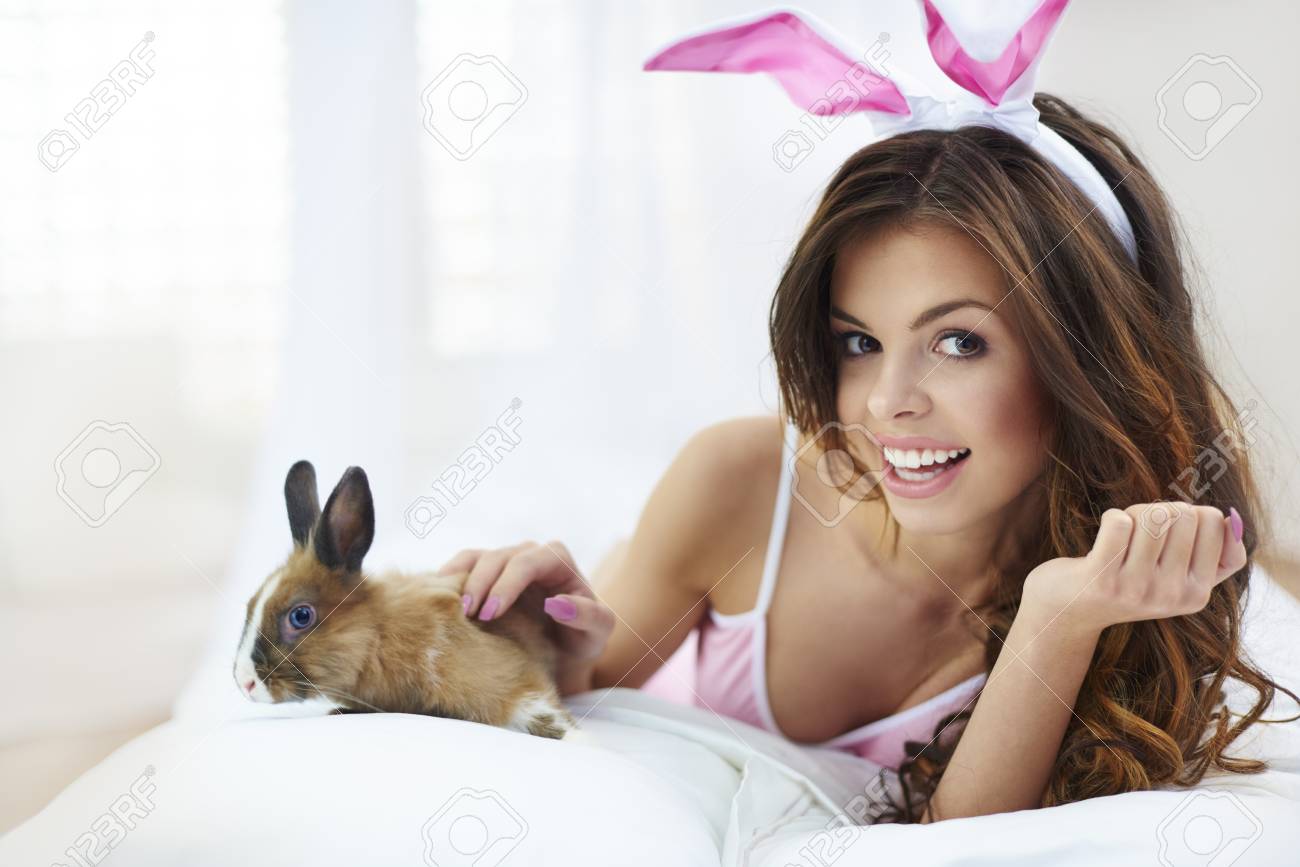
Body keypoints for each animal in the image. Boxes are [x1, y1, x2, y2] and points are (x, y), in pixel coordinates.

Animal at [232, 460, 578, 740]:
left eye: (301, 616)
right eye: (249, 605)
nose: (244, 683)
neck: (379, 638)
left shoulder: (515, 683)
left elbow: (545, 715)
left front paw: (580, 741)